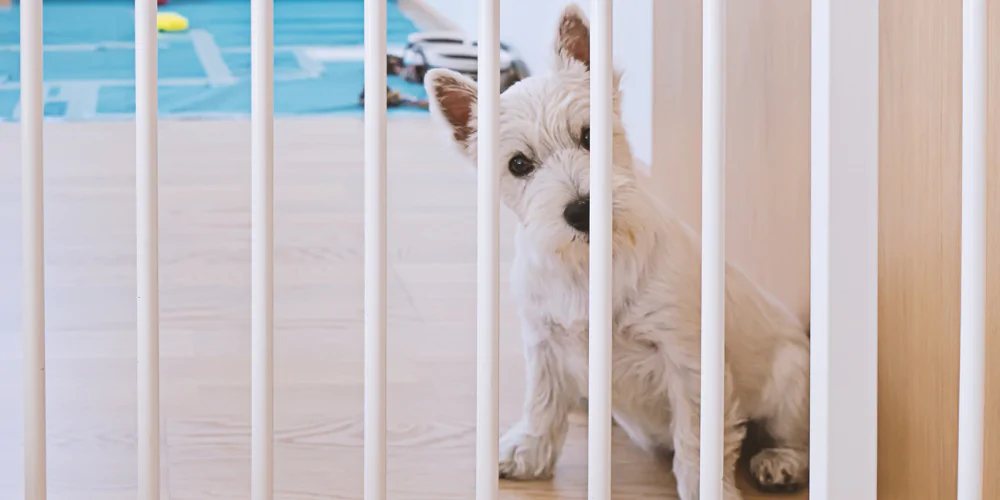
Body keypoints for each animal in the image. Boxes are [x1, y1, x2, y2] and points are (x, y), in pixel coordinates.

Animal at [426, 4, 808, 500]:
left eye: (591, 136)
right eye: (518, 164)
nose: (581, 210)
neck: (587, 265)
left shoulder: (688, 361)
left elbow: (697, 438)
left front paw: (706, 486)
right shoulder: (544, 342)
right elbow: (543, 400)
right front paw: (527, 452)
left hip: (789, 382)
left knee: (794, 434)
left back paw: (779, 461)